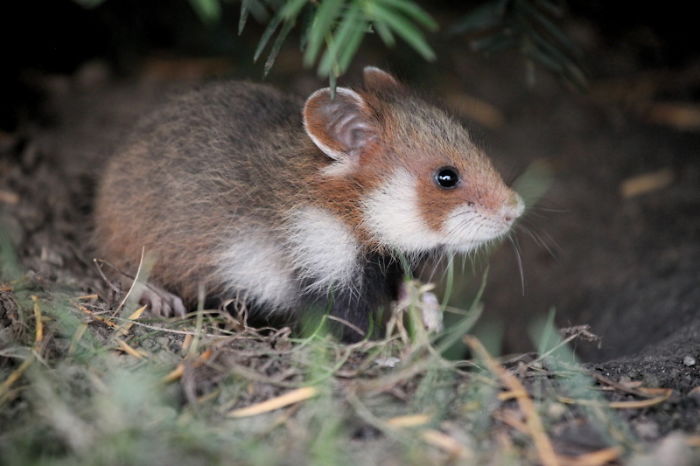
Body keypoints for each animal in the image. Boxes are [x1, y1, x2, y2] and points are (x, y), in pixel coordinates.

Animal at [93, 66, 524, 340]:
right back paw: (159, 298)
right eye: (446, 177)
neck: (353, 213)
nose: (515, 210)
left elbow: (404, 285)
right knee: (116, 265)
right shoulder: (325, 268)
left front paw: (429, 315)